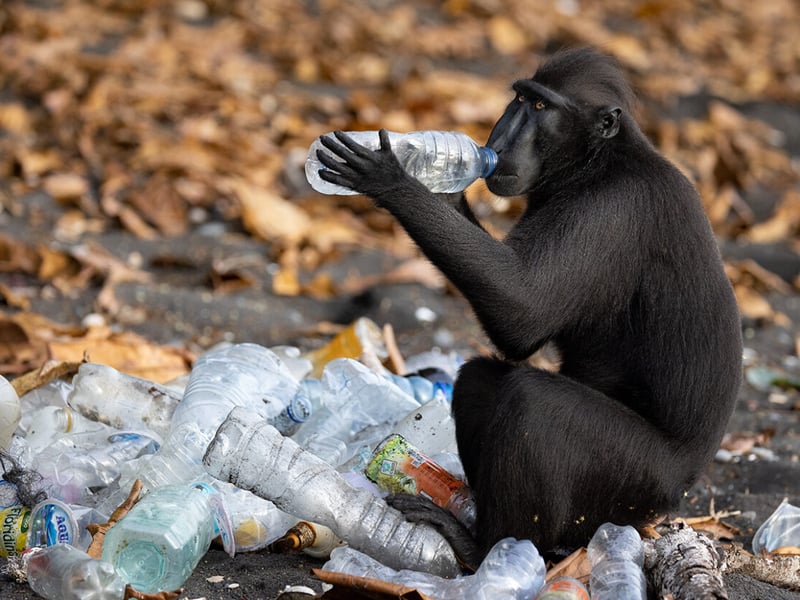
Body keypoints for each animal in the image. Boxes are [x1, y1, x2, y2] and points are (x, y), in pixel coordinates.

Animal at [314, 47, 742, 569]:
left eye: (540, 108)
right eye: (519, 99)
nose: (498, 138)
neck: (595, 162)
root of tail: (681, 488)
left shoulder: (612, 210)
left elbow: (524, 314)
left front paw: (395, 179)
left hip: (639, 482)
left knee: (532, 403)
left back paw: (487, 548)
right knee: (481, 379)